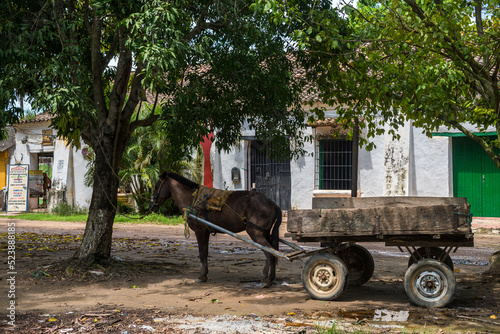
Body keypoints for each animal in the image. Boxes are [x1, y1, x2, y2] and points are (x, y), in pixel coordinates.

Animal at [149, 172, 282, 288]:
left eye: (156, 186)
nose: (151, 206)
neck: (193, 199)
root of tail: (272, 203)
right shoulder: (206, 232)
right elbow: (205, 253)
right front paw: (204, 275)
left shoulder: (200, 231)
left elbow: (202, 254)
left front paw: (201, 276)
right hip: (266, 233)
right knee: (274, 252)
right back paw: (271, 279)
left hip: (256, 233)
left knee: (270, 253)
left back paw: (264, 279)